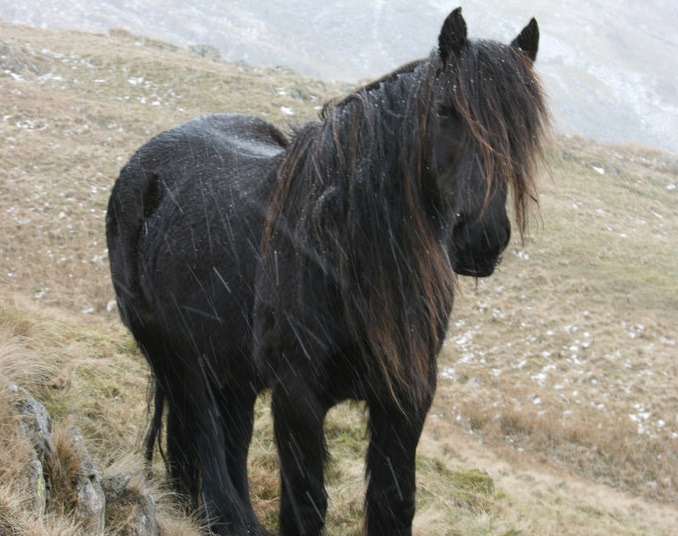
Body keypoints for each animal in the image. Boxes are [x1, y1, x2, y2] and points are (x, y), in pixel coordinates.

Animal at [107, 8, 552, 536]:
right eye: (445, 110)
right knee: (209, 454)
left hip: (231, 373)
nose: (481, 238)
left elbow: (392, 502)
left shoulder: (408, 396)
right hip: (180, 362)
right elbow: (306, 504)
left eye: (522, 128)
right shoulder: (297, 396)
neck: (346, 249)